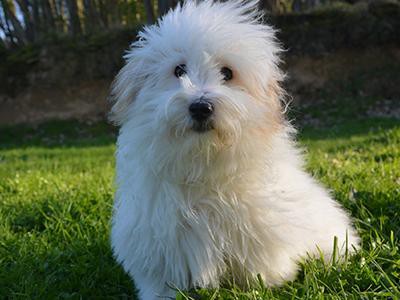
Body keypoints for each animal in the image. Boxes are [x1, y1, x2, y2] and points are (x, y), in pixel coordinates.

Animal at [109, 1, 360, 298]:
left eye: (227, 73)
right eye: (179, 70)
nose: (200, 107)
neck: (202, 162)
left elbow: (259, 267)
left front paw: (262, 284)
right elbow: (161, 279)